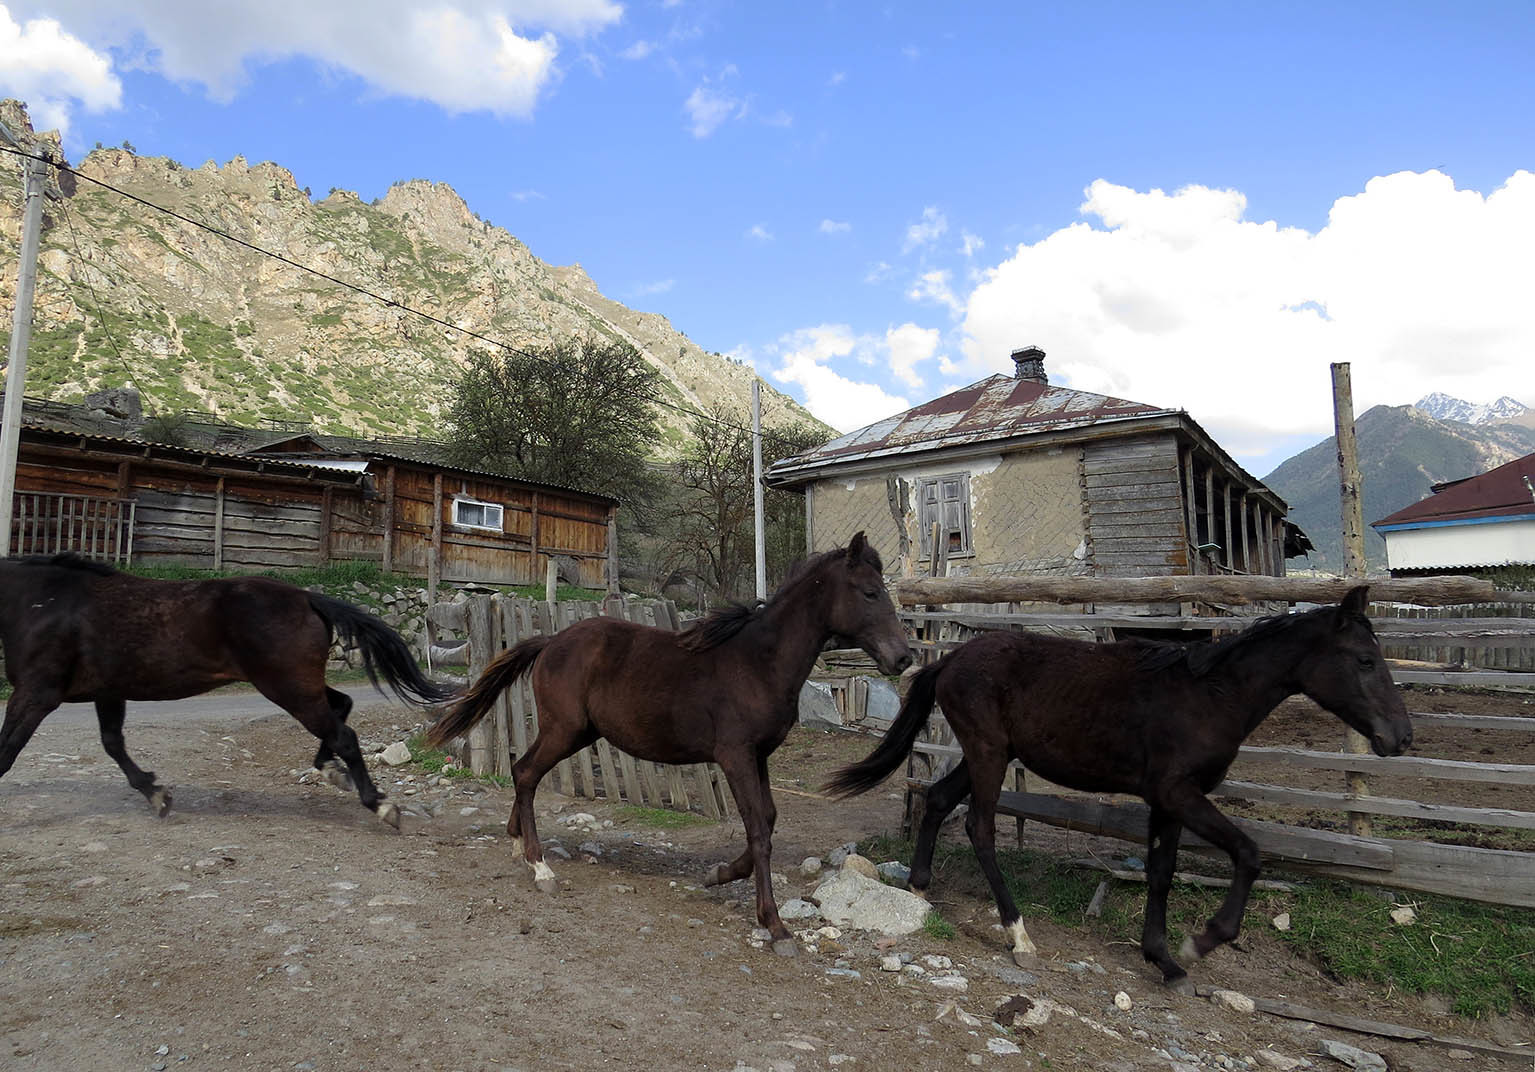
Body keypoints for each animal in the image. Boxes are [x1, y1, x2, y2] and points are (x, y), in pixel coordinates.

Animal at [0, 555, 454, 823]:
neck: (42, 602)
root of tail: (307, 598)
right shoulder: (108, 691)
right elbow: (113, 744)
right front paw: (156, 794)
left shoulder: (37, 693)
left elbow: (6, 752)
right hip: (298, 684)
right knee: (341, 709)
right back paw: (332, 772)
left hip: (286, 687)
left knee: (343, 733)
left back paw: (380, 803)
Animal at [426, 531, 908, 952]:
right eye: (869, 593)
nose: (903, 657)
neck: (759, 662)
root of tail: (550, 642)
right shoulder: (734, 756)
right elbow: (757, 829)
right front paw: (773, 924)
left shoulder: (759, 756)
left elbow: (767, 820)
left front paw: (718, 874)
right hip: (564, 730)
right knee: (525, 771)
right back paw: (539, 865)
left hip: (576, 732)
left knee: (523, 770)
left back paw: (517, 846)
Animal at [828, 583, 1412, 982]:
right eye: (1365, 660)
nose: (1400, 737)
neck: (1209, 695)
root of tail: (948, 661)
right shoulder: (1179, 793)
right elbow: (1248, 853)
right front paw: (1200, 943)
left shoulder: (1166, 801)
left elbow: (1161, 871)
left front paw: (1163, 960)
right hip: (988, 755)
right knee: (980, 827)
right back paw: (1018, 934)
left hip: (985, 755)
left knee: (937, 799)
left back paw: (920, 887)